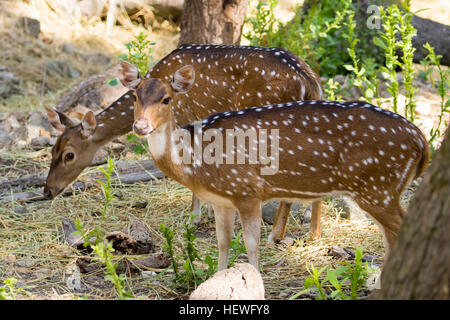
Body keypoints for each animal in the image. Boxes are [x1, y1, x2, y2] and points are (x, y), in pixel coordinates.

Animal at [43, 44, 324, 240]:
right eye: (52, 151)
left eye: (69, 155)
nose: (47, 190)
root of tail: (308, 81)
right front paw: (209, 212)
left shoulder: (188, 118)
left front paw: (193, 218)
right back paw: (313, 234)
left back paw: (276, 234)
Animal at [118, 62, 428, 278]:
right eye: (134, 96)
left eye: (167, 98)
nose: (140, 126)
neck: (196, 162)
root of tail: (421, 141)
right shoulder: (221, 200)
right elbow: (223, 242)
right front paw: (217, 278)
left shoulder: (247, 189)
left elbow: (251, 242)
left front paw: (254, 279)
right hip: (381, 189)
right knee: (392, 236)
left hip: (378, 186)